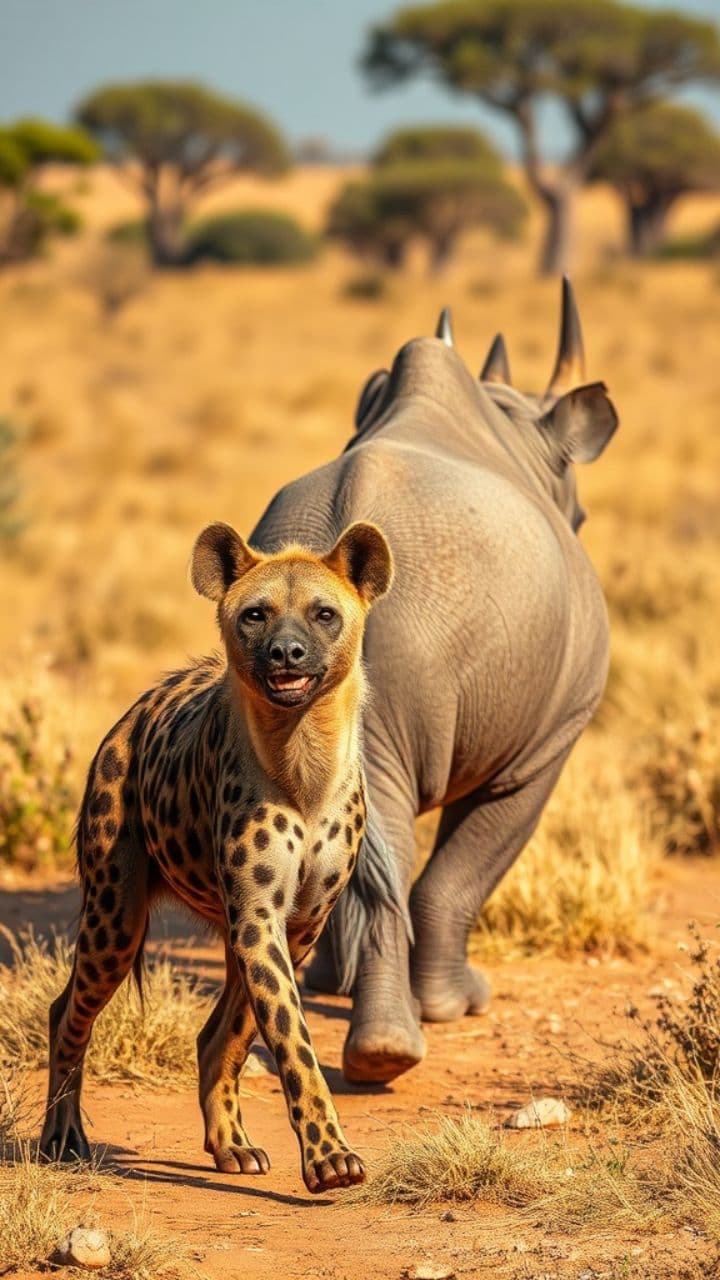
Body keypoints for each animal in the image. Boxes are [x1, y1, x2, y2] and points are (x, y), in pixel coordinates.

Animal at [251, 279, 618, 1084]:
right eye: (580, 514)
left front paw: (329, 981)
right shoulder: (550, 740)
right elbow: (467, 868)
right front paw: (460, 1004)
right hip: (430, 624)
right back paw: (389, 1056)